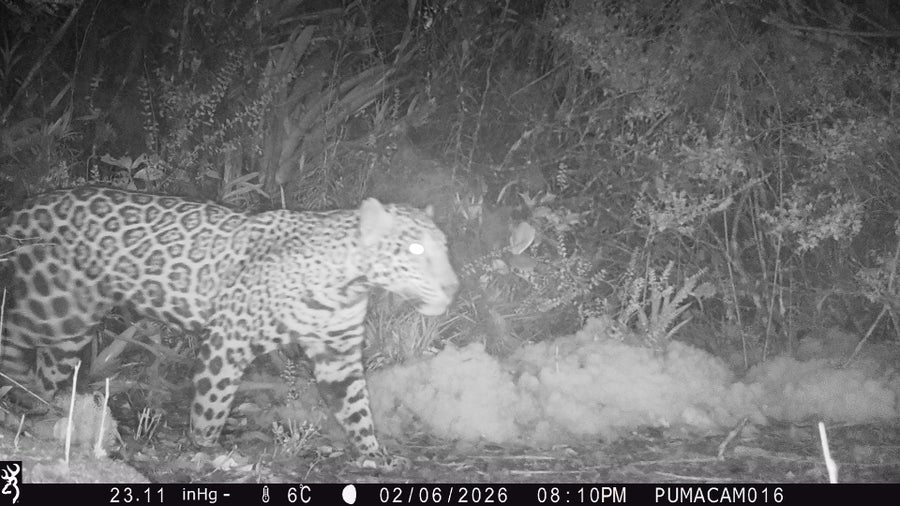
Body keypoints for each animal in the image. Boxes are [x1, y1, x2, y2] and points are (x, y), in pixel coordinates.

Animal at [0, 186, 459, 466]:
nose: (453, 286)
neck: (347, 282)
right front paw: (206, 449)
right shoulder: (229, 339)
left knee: (49, 366)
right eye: (415, 249)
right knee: (12, 333)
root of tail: (23, 206)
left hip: (72, 325)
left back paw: (40, 407)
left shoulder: (338, 354)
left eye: (442, 247)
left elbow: (357, 406)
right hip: (50, 305)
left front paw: (374, 454)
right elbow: (213, 403)